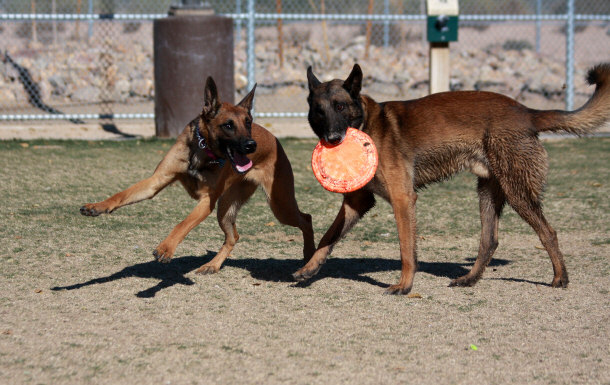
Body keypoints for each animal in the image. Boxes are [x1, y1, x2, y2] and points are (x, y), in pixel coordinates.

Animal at [80, 76, 314, 272]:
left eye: (248, 122)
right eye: (228, 125)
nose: (251, 145)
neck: (203, 150)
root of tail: (273, 138)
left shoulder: (206, 202)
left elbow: (182, 224)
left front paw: (166, 248)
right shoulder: (156, 181)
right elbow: (121, 195)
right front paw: (97, 206)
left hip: (279, 204)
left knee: (306, 218)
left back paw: (309, 255)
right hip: (226, 208)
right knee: (233, 237)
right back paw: (212, 265)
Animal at [294, 63, 608, 292]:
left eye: (340, 107)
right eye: (318, 111)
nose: (332, 139)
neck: (369, 123)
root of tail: (527, 112)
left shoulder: (403, 199)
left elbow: (406, 250)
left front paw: (404, 285)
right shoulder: (357, 203)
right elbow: (328, 236)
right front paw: (309, 268)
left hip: (516, 192)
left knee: (548, 232)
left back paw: (559, 278)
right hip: (488, 194)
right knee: (489, 241)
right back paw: (469, 279)